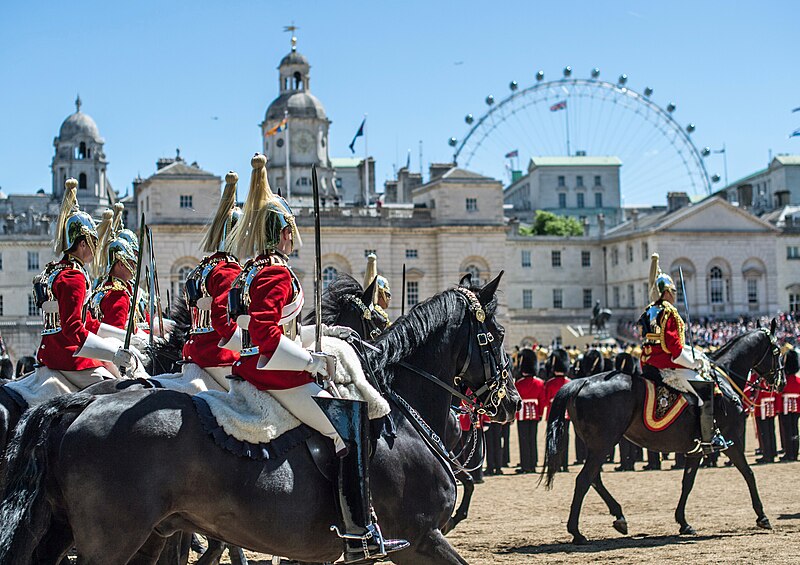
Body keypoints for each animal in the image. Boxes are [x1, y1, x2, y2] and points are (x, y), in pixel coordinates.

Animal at [0, 272, 520, 560]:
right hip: (113, 539)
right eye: (495, 335)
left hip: (110, 532)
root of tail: (80, 404)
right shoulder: (419, 538)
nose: (513, 401)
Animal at [544, 322, 780, 548]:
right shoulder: (731, 440)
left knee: (594, 478)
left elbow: (687, 482)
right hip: (603, 444)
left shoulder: (696, 448)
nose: (780, 381)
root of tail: (582, 381)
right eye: (776, 351)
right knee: (584, 480)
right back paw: (577, 532)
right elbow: (749, 474)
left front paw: (683, 522)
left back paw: (618, 517)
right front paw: (762, 516)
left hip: (597, 445)